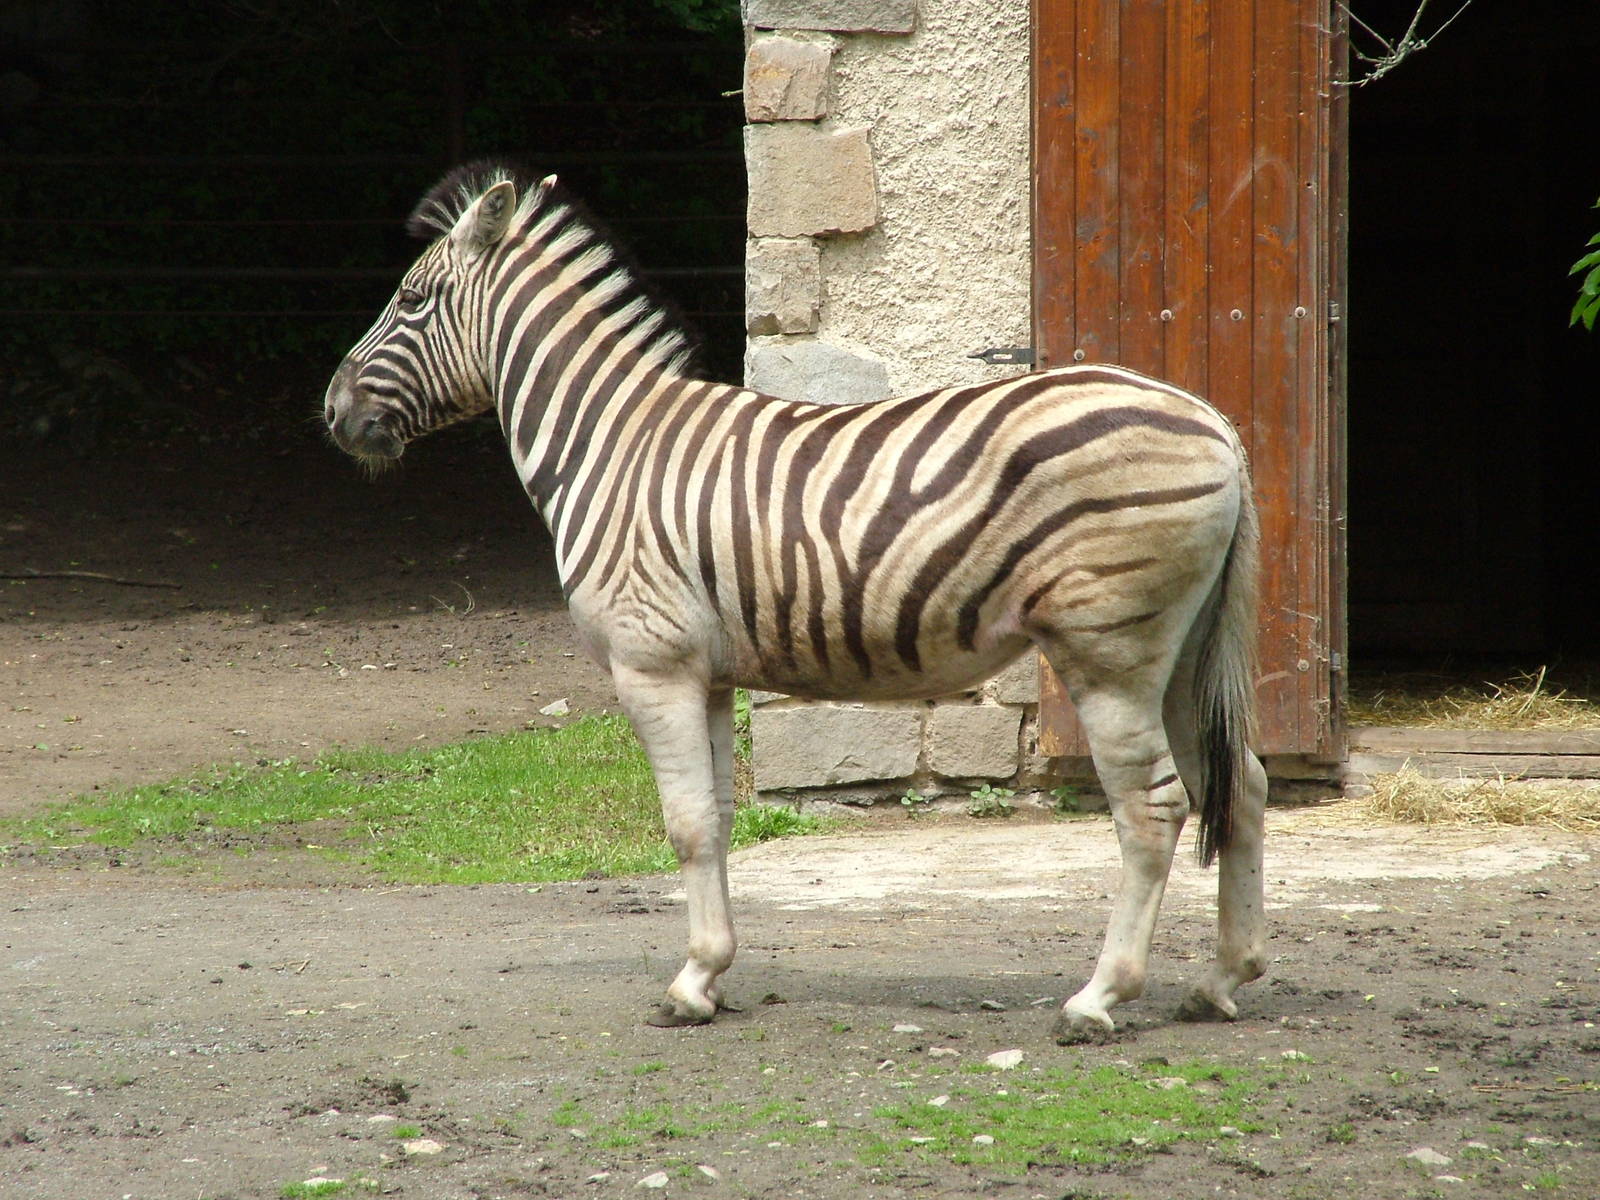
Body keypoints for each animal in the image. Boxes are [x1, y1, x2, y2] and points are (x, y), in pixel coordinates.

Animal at [325, 161, 1269, 1043]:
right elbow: (717, 817)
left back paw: (1100, 997)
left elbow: (685, 824)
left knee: (1154, 809)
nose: (331, 411)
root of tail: (1215, 422)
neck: (610, 445)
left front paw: (686, 988)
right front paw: (710, 973)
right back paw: (1224, 978)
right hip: (1180, 646)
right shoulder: (704, 673)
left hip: (1107, 648)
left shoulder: (651, 664)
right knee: (1243, 784)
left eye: (411, 300)